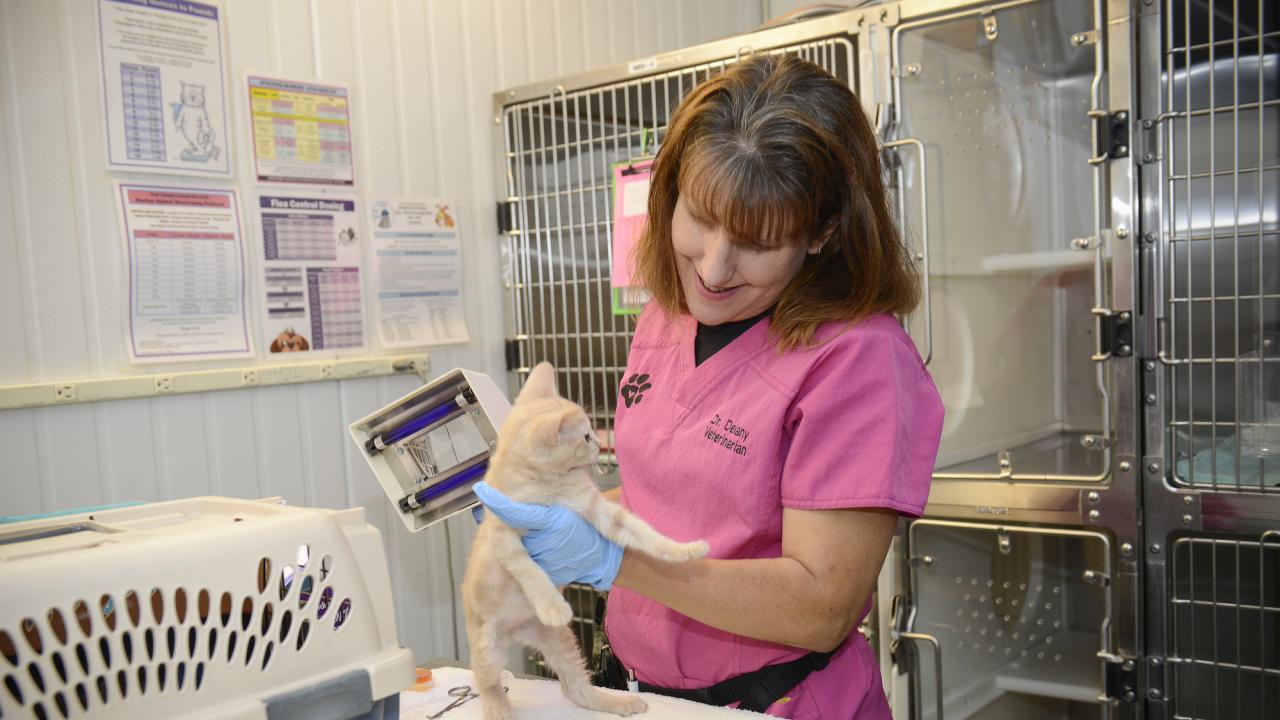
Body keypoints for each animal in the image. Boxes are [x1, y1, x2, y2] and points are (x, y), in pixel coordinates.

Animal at [465, 363, 711, 717]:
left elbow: (641, 530)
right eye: (584, 436)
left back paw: (618, 702)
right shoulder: (502, 536)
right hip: (486, 644)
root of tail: (518, 629)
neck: (549, 489)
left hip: (560, 641)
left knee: (575, 689)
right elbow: (528, 569)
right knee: (486, 681)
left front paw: (682, 549)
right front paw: (552, 604)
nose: (598, 442)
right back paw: (498, 707)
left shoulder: (594, 508)